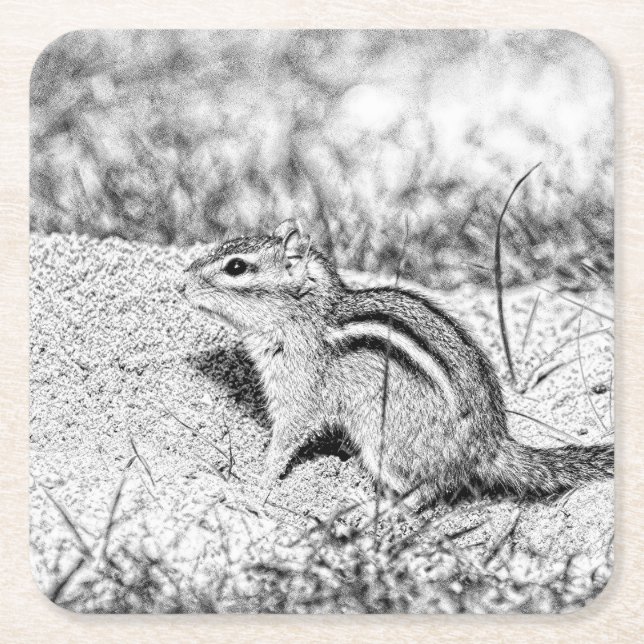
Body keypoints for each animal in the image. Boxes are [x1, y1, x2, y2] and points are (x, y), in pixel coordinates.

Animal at [181, 219, 613, 507]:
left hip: (383, 438)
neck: (306, 315)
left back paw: (382, 512)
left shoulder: (298, 392)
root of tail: (489, 446)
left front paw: (257, 482)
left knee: (431, 489)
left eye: (236, 266)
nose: (181, 284)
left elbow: (286, 438)